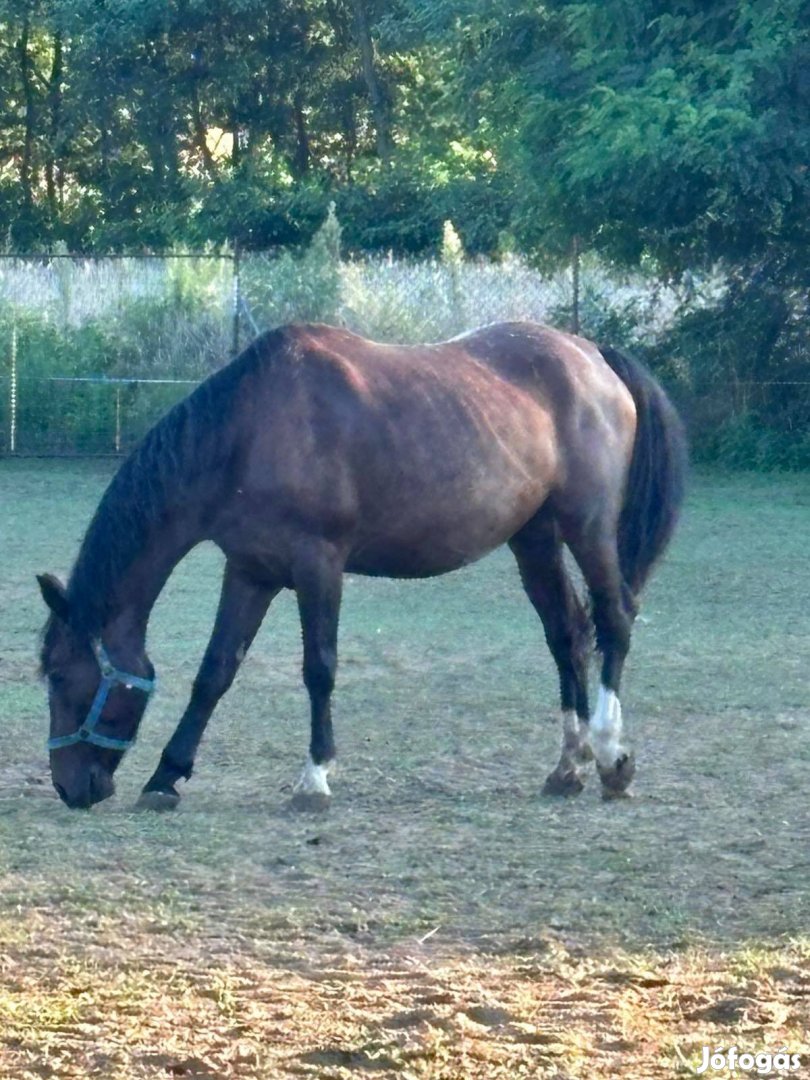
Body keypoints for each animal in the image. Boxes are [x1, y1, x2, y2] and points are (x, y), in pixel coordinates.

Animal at [36, 319, 686, 812]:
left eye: (63, 678)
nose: (71, 788)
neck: (249, 431)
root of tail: (591, 355)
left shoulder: (318, 565)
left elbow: (319, 668)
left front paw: (314, 779)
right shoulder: (250, 572)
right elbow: (215, 672)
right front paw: (166, 776)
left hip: (587, 525)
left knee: (614, 619)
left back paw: (611, 757)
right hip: (535, 538)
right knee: (566, 633)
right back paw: (567, 766)